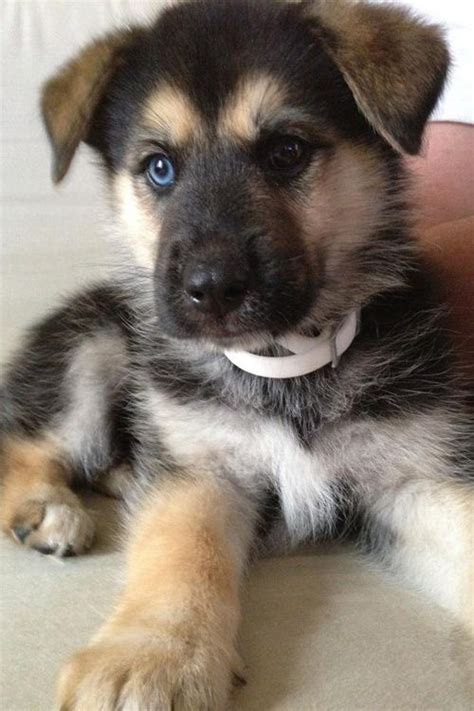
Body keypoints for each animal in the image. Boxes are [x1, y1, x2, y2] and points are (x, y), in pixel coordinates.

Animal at [0, 1, 474, 711]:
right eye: (159, 168)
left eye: (287, 152)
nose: (212, 288)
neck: (287, 364)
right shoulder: (202, 469)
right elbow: (179, 553)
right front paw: (153, 655)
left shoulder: (410, 478)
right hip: (94, 345)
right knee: (26, 442)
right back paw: (46, 509)